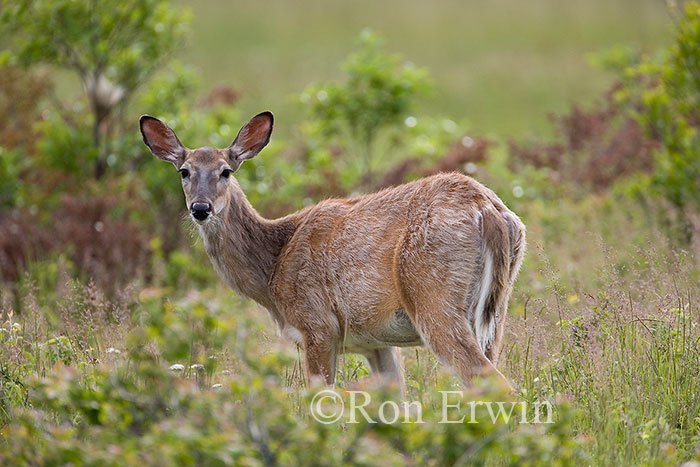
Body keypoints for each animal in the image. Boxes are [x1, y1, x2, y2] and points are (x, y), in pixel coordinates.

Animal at [139, 111, 526, 391]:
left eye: (225, 172)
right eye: (184, 171)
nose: (200, 208)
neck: (273, 266)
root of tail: (487, 208)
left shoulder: (318, 325)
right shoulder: (374, 341)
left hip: (434, 298)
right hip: (495, 310)